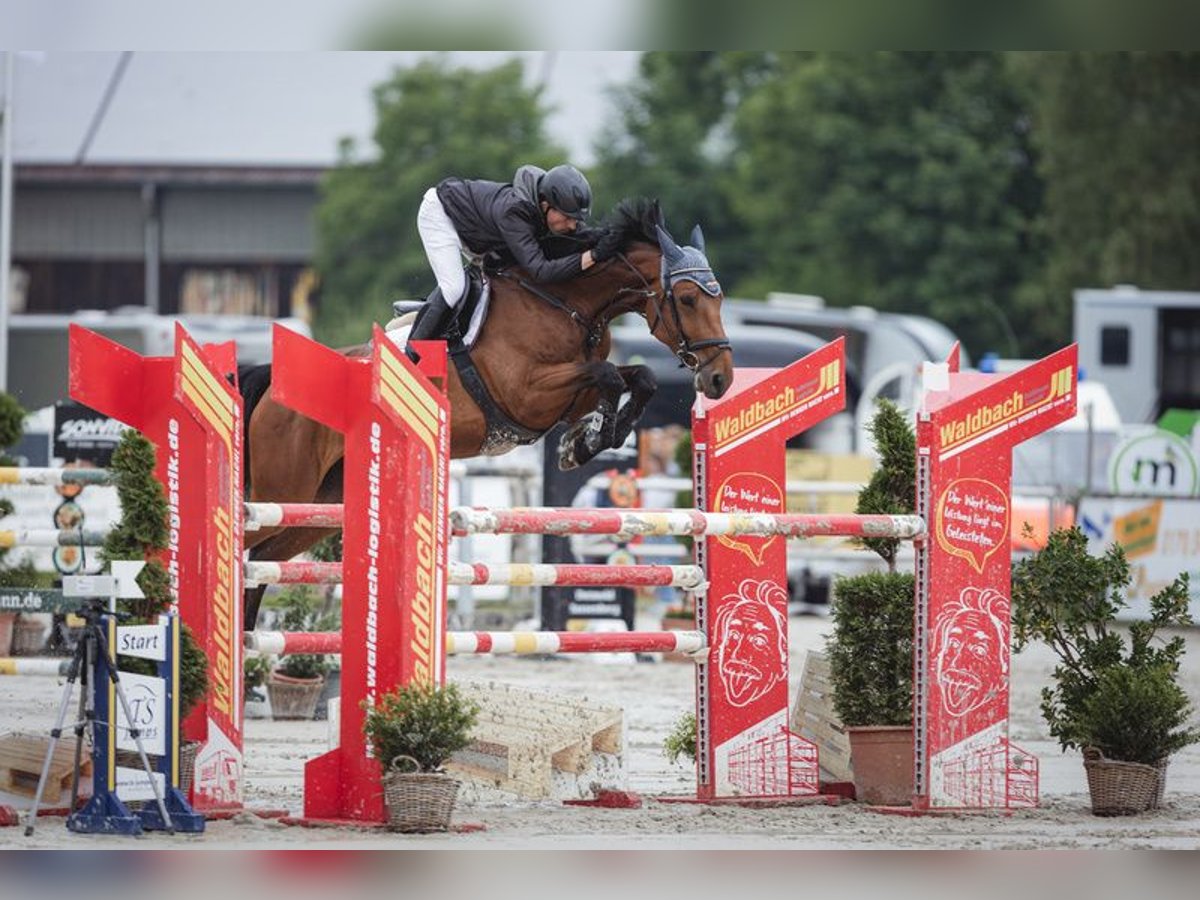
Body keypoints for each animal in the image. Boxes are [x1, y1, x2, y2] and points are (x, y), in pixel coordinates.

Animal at [238, 200, 734, 628]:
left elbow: (638, 377)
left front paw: (585, 441)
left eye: (719, 298)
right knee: (245, 543)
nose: (720, 380)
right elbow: (608, 375)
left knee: (262, 563)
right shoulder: (527, 394)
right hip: (286, 488)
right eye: (687, 299)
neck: (566, 304)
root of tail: (273, 385)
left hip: (321, 504)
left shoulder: (570, 395)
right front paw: (589, 440)